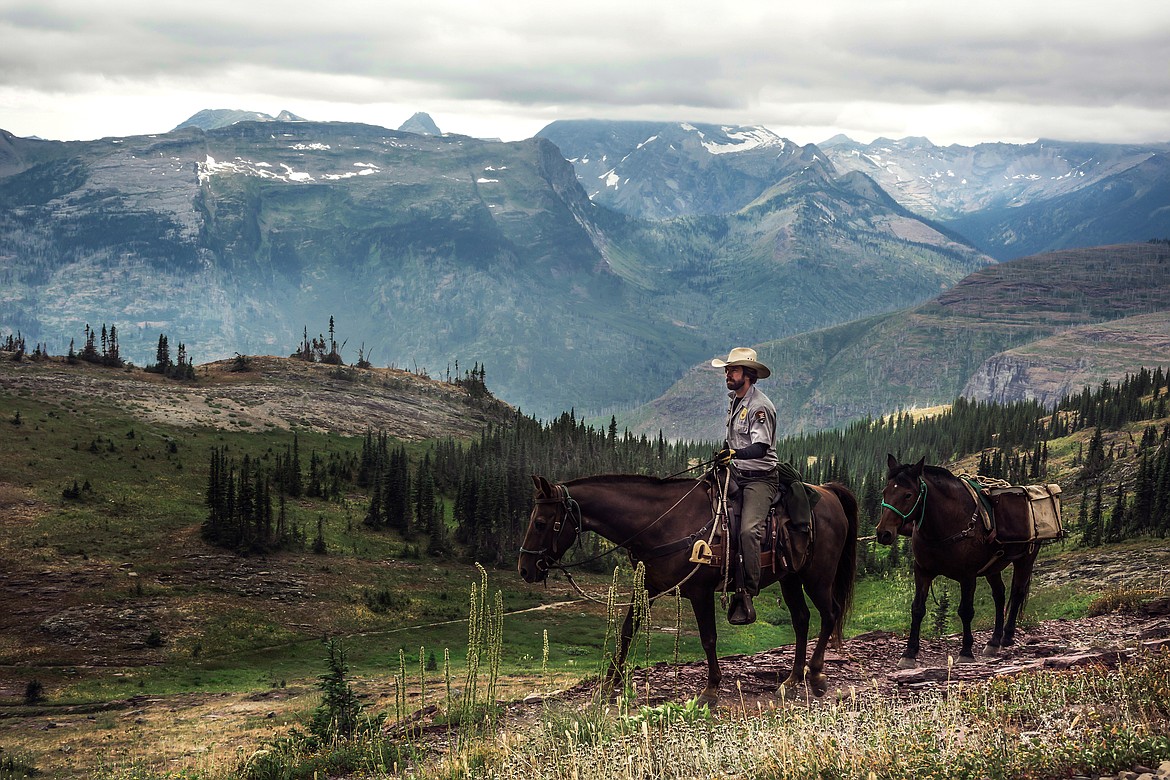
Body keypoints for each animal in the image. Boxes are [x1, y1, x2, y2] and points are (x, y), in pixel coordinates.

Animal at [879, 453, 1043, 668]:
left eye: (908, 495)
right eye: (885, 492)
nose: (883, 533)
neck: (945, 525)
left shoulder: (968, 576)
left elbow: (965, 611)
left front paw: (965, 651)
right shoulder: (922, 571)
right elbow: (917, 609)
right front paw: (909, 653)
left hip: (1025, 559)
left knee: (1017, 593)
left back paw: (1007, 637)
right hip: (993, 567)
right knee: (999, 595)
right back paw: (994, 641)